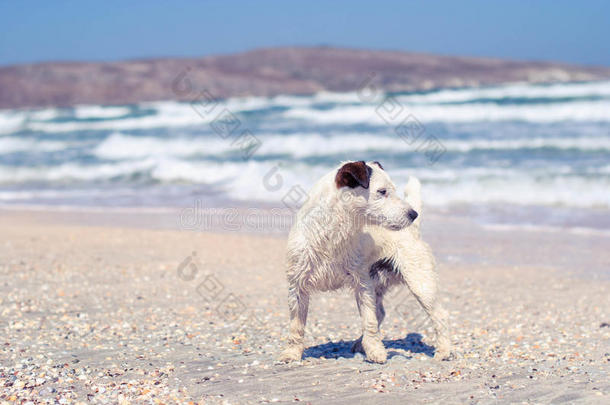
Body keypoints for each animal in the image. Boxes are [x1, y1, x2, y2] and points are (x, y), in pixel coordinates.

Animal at [278, 161, 448, 362]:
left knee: (440, 315)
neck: (331, 233)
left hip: (420, 283)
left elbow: (369, 321)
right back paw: (360, 343)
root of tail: (413, 231)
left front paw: (375, 351)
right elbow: (296, 326)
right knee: (380, 312)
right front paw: (292, 353)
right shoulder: (298, 286)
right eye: (382, 191)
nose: (413, 214)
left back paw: (444, 351)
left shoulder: (362, 283)